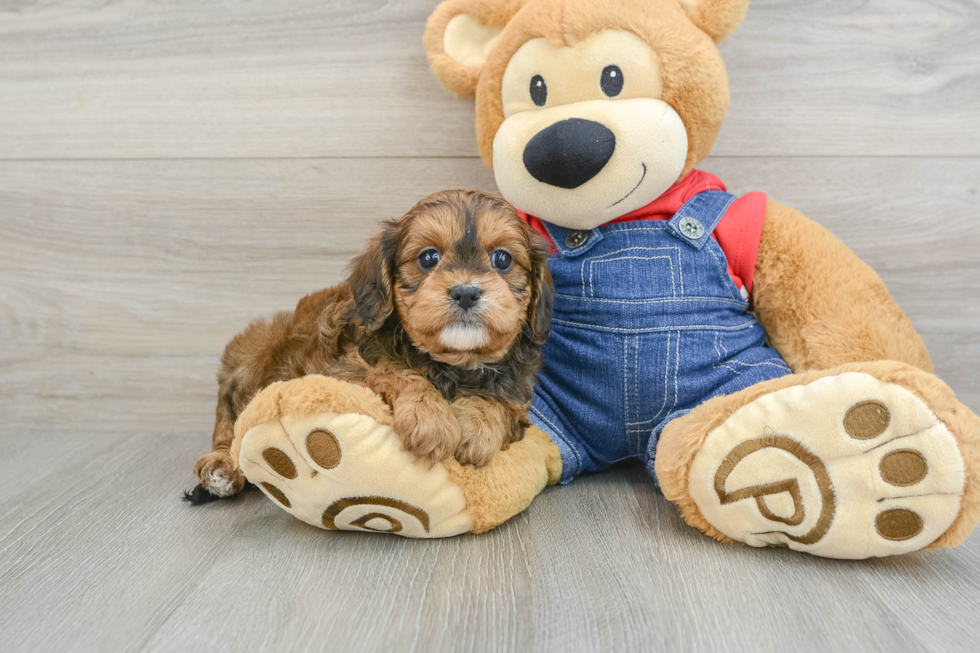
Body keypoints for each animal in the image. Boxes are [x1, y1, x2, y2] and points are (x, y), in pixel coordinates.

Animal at [189, 188, 552, 500]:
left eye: (502, 259)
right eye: (428, 258)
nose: (466, 292)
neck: (453, 361)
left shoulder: (518, 399)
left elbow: (500, 402)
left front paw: (478, 427)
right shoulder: (343, 370)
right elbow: (394, 372)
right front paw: (430, 420)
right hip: (251, 353)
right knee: (230, 422)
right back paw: (221, 468)